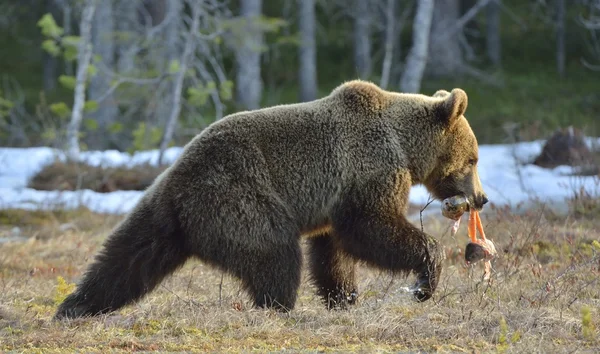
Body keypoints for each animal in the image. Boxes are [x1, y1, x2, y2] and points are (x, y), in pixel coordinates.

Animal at [55, 79, 488, 318]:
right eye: (474, 158)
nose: (481, 198)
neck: (405, 146)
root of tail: (179, 185)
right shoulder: (367, 169)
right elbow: (370, 228)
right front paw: (425, 281)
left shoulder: (334, 198)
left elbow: (333, 251)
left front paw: (344, 297)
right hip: (240, 197)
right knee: (275, 253)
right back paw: (279, 307)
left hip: (160, 214)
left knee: (126, 259)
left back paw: (75, 306)